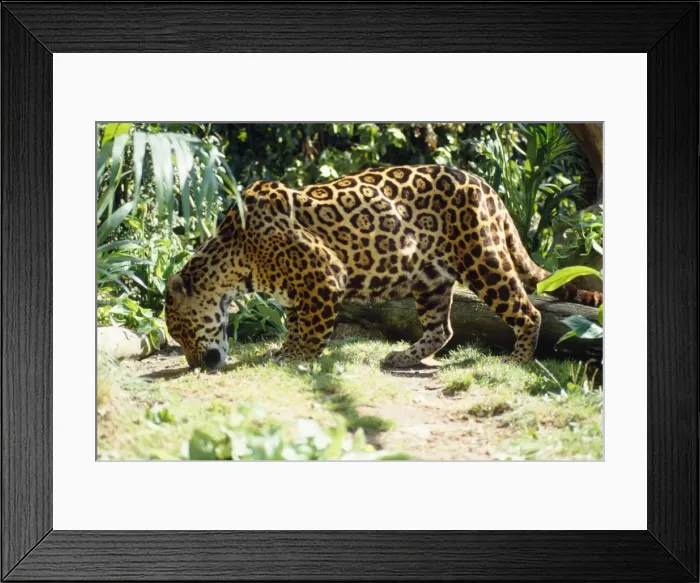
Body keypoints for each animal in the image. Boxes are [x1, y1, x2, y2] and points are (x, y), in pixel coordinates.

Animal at [165, 164, 602, 370]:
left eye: (183, 332)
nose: (194, 366)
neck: (235, 259)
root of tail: (485, 184)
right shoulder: (298, 292)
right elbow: (297, 323)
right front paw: (288, 351)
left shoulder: (324, 276)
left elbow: (311, 329)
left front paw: (296, 357)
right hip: (431, 279)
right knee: (441, 329)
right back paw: (403, 358)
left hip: (483, 257)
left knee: (526, 310)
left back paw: (519, 360)